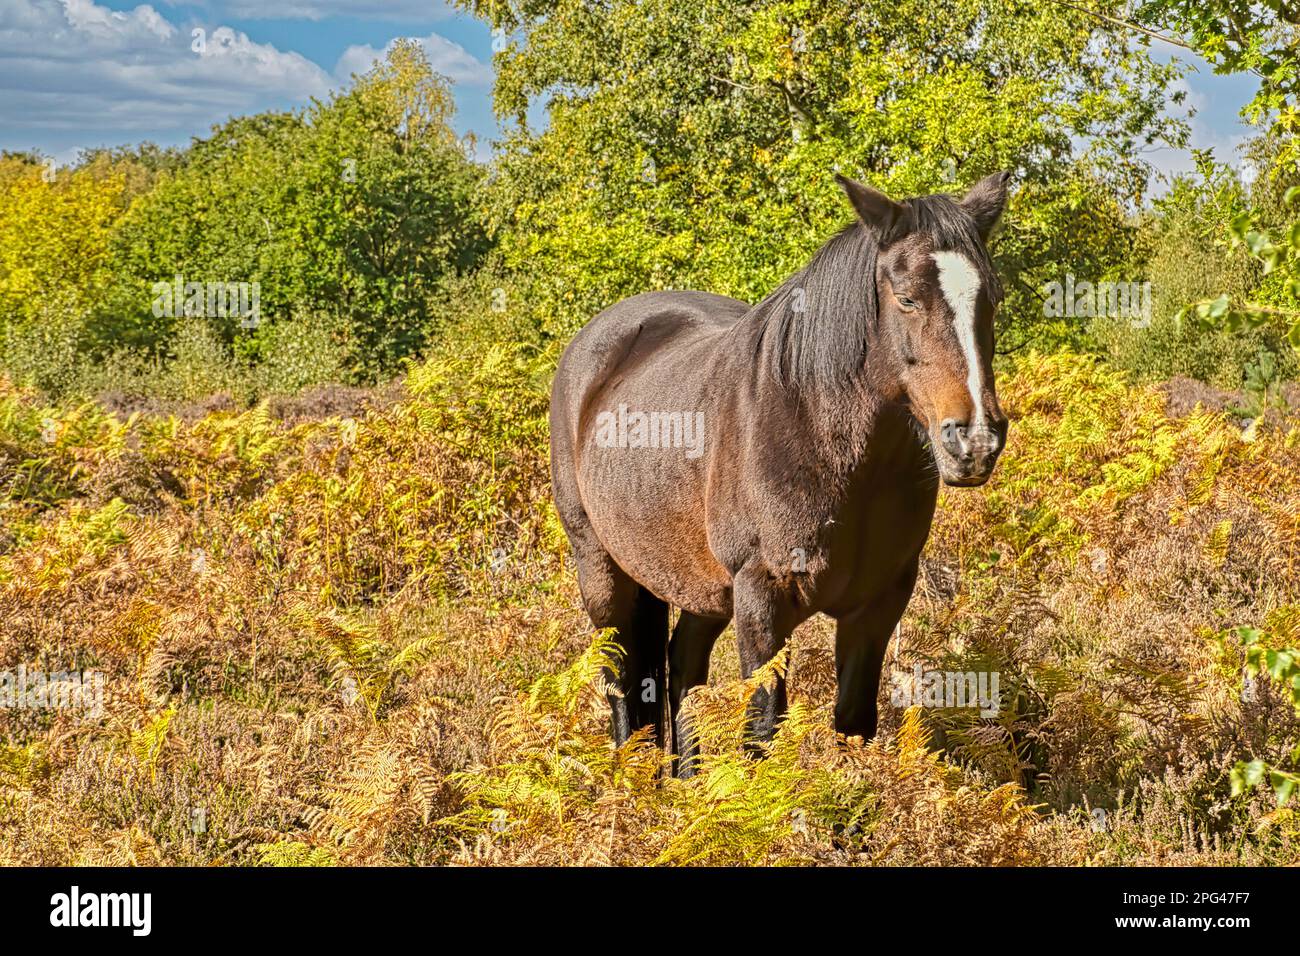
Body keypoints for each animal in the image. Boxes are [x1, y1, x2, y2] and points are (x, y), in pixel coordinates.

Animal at [543, 174, 1008, 780]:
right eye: (907, 298)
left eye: (991, 300)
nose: (975, 440)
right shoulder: (762, 598)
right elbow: (763, 732)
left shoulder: (877, 605)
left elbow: (852, 726)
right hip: (602, 568)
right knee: (623, 678)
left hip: (701, 585)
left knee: (681, 664)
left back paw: (688, 785)